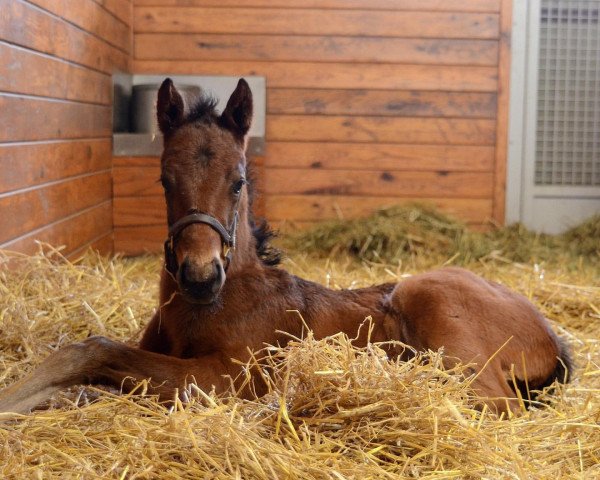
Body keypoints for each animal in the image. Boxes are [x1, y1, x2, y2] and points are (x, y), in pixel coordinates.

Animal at [0, 78, 572, 412]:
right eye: (163, 181)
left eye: (239, 181)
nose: (200, 275)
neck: (212, 305)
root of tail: (549, 332)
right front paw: (54, 398)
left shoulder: (224, 377)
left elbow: (92, 349)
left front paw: (15, 400)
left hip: (432, 308)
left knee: (491, 404)